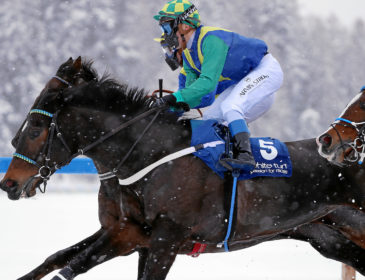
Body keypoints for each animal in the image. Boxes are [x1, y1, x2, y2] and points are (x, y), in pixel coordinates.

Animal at [2, 59, 364, 280]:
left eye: (36, 127)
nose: (9, 184)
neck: (147, 157)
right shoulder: (129, 233)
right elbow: (62, 257)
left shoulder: (165, 238)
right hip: (330, 239)